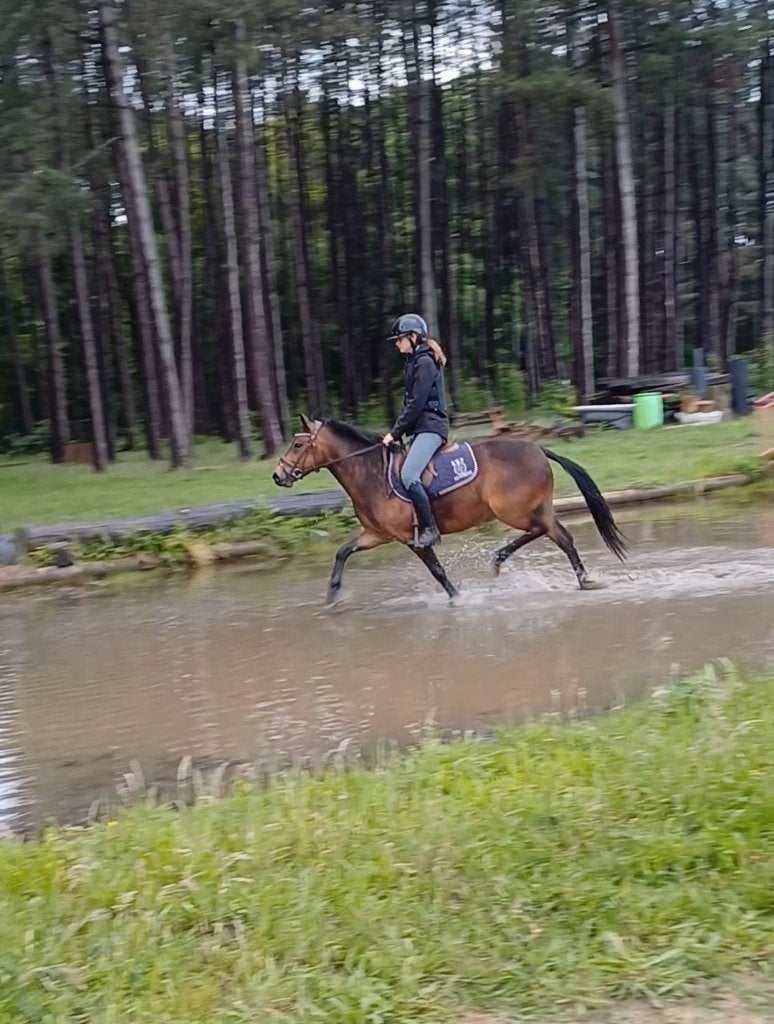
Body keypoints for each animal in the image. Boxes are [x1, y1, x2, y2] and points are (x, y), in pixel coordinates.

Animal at [273, 415, 628, 605]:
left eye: (298, 444)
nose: (278, 475)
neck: (371, 472)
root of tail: (539, 448)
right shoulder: (376, 534)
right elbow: (342, 552)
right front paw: (332, 595)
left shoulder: (411, 538)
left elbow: (437, 571)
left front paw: (457, 598)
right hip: (536, 508)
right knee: (562, 537)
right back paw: (583, 580)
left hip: (514, 511)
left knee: (545, 531)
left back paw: (500, 560)